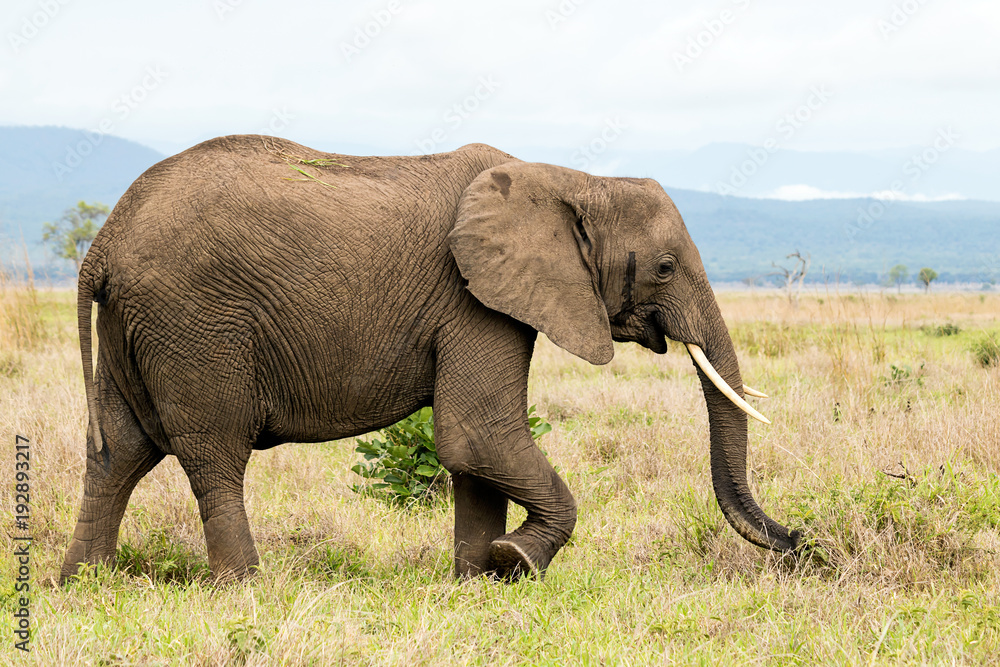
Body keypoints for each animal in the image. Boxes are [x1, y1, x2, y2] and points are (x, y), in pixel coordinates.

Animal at [60, 135, 799, 584]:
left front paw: (478, 578)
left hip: (137, 325)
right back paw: (245, 586)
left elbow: (474, 450)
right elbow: (478, 433)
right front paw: (516, 561)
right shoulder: (475, 299)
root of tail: (104, 240)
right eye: (666, 267)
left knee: (118, 451)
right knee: (212, 452)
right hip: (193, 324)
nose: (799, 542)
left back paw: (84, 582)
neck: (572, 178)